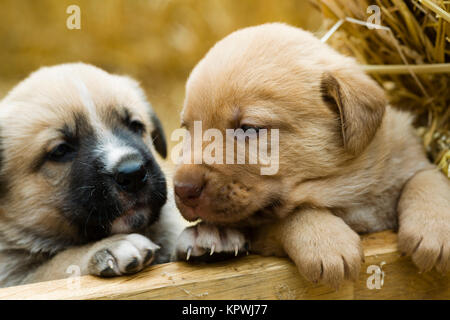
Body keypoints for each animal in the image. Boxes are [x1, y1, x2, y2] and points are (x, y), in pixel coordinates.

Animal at [0, 62, 186, 288]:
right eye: (60, 150)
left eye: (135, 126)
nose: (133, 174)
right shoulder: (15, 278)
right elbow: (55, 266)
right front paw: (109, 247)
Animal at [173, 22, 450, 288]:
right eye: (187, 129)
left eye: (249, 128)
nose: (182, 189)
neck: (345, 190)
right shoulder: (265, 228)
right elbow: (295, 212)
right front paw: (326, 242)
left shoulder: (406, 155)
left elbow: (426, 179)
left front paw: (435, 228)